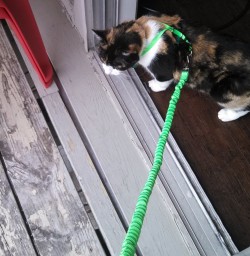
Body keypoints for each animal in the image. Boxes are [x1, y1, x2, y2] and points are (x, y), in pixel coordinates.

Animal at [93, 14, 250, 122]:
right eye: (103, 60)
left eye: (117, 65)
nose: (107, 72)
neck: (145, 32)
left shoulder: (164, 68)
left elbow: (164, 80)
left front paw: (155, 86)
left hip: (224, 87)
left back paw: (227, 114)